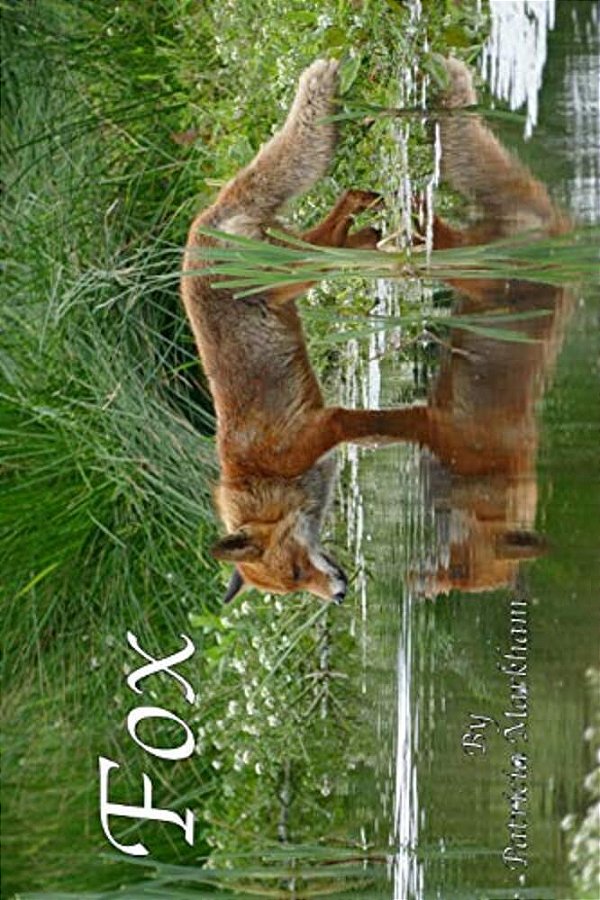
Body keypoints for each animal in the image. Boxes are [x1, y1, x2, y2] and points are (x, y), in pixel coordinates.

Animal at [181, 57, 568, 604]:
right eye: (296, 583)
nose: (340, 595)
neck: (266, 475)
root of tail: (203, 225)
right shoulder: (333, 427)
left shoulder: (330, 424)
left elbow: (373, 424)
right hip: (297, 273)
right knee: (339, 236)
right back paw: (377, 224)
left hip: (298, 271)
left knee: (340, 234)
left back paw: (380, 218)